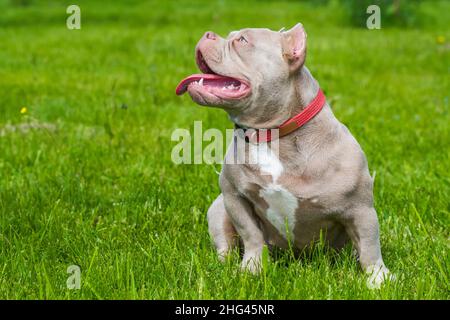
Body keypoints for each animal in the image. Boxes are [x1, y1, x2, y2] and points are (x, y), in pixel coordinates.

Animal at [176, 23, 394, 288]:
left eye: (242, 40)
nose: (207, 34)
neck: (271, 136)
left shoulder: (360, 209)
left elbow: (370, 246)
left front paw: (379, 279)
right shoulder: (234, 196)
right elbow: (251, 235)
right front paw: (252, 269)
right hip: (218, 209)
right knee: (225, 246)